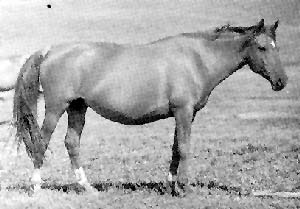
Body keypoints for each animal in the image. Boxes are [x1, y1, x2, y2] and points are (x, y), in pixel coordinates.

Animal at [12, 18, 288, 195]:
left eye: (277, 47)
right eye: (262, 47)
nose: (282, 81)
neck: (196, 59)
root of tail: (50, 50)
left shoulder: (185, 114)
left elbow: (176, 148)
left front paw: (170, 185)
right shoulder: (183, 111)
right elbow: (184, 148)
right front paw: (184, 188)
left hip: (78, 107)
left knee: (71, 142)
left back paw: (87, 188)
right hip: (56, 108)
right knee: (42, 141)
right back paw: (35, 186)